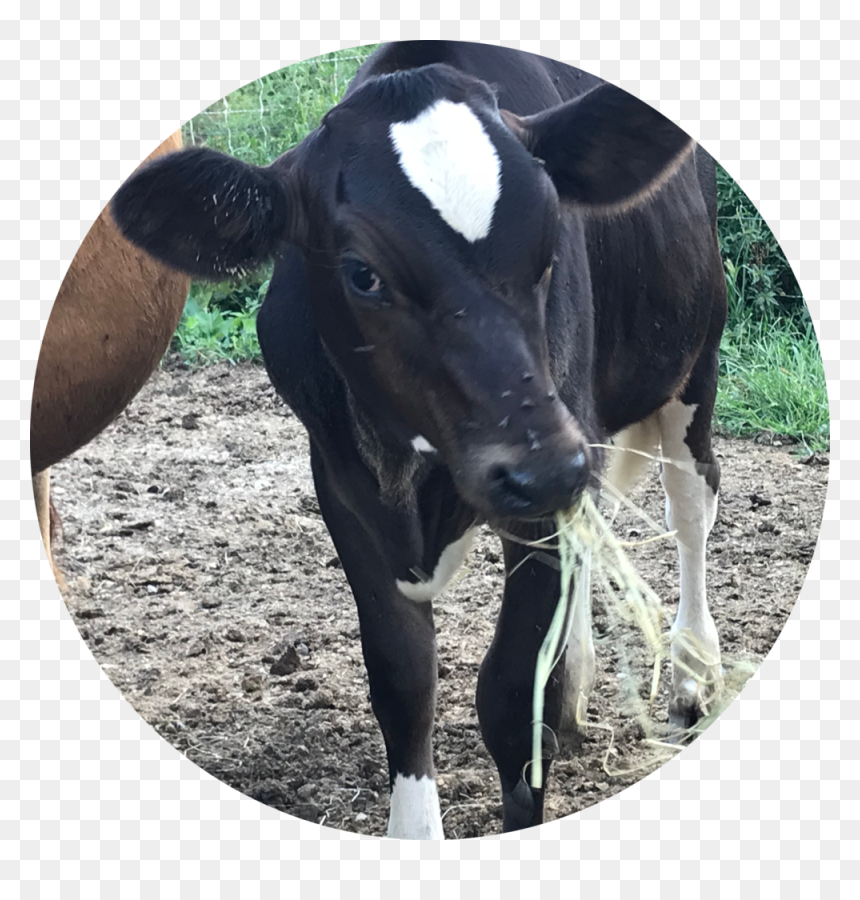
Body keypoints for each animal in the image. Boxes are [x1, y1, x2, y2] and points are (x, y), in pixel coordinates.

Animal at [111, 41, 727, 839]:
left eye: (548, 249)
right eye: (362, 274)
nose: (544, 468)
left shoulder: (555, 466)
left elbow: (511, 696)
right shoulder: (341, 479)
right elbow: (403, 679)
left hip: (692, 362)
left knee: (690, 507)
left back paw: (690, 677)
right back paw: (577, 694)